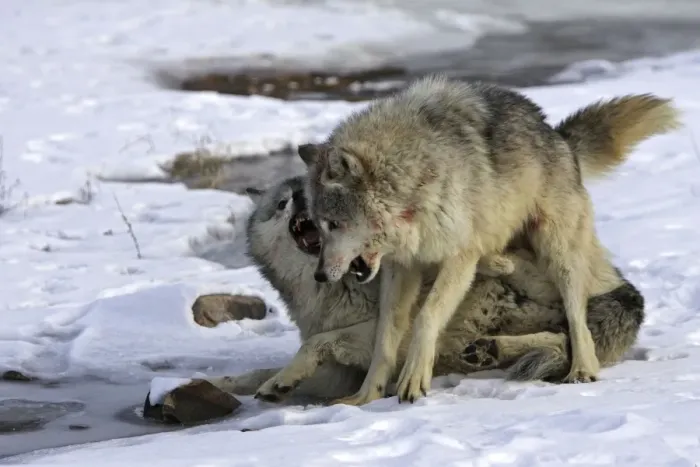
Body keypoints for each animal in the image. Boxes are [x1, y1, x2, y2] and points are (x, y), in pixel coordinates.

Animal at [202, 175, 644, 403]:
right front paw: (243, 385)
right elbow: (261, 372)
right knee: (559, 337)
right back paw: (489, 349)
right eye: (281, 204)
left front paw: (281, 381)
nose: (297, 198)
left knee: (566, 330)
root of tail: (628, 290)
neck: (334, 286)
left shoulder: (376, 332)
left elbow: (316, 343)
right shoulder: (339, 373)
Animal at [298, 76, 679, 404]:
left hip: (557, 251)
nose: (319, 275)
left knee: (577, 320)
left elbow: (426, 318)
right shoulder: (402, 268)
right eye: (318, 226)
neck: (414, 178)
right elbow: (385, 337)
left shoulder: (457, 258)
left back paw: (582, 369)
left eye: (334, 224)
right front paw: (366, 396)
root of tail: (557, 134)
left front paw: (414, 380)